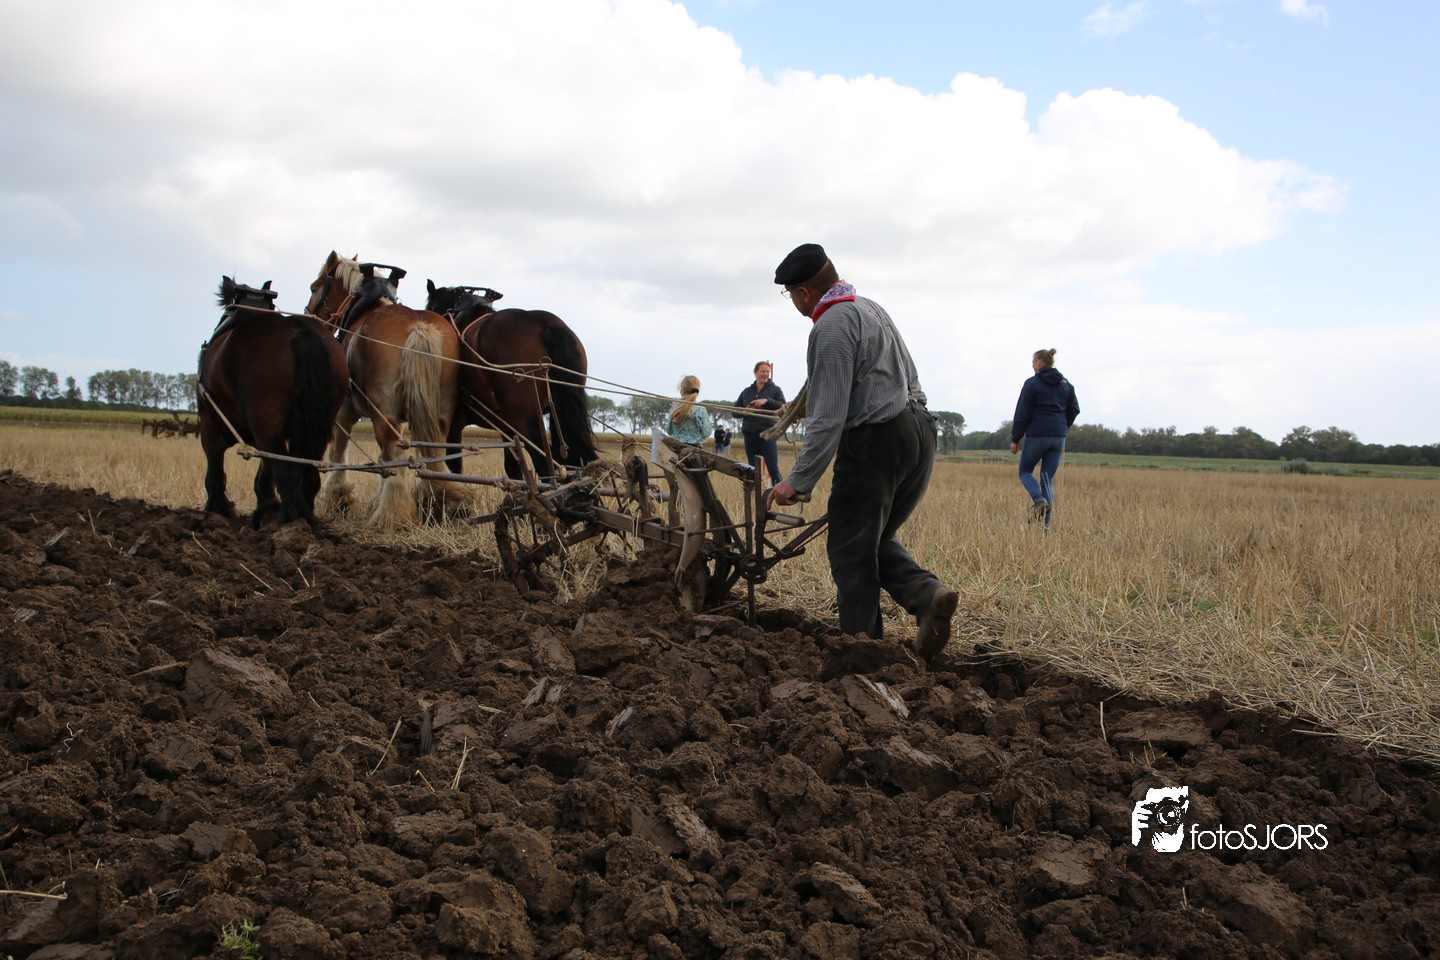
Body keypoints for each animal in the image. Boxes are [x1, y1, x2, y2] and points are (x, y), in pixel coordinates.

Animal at [197, 276, 348, 529]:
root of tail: (297, 331)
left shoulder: (210, 426)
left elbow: (215, 471)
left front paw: (217, 511)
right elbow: (265, 471)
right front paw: (265, 508)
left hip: (264, 426)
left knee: (286, 473)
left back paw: (288, 522)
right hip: (314, 429)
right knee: (306, 472)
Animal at [306, 252, 463, 524]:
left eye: (314, 288)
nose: (307, 314)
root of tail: (418, 327)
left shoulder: (346, 410)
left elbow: (339, 450)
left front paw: (337, 496)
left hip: (382, 412)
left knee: (393, 453)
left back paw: (392, 514)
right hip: (439, 410)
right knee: (432, 450)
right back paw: (437, 500)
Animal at [425, 280, 597, 481]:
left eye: (431, 307)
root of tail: (544, 325)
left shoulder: (454, 423)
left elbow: (454, 467)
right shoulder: (506, 428)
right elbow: (513, 468)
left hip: (525, 420)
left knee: (545, 465)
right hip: (557, 416)